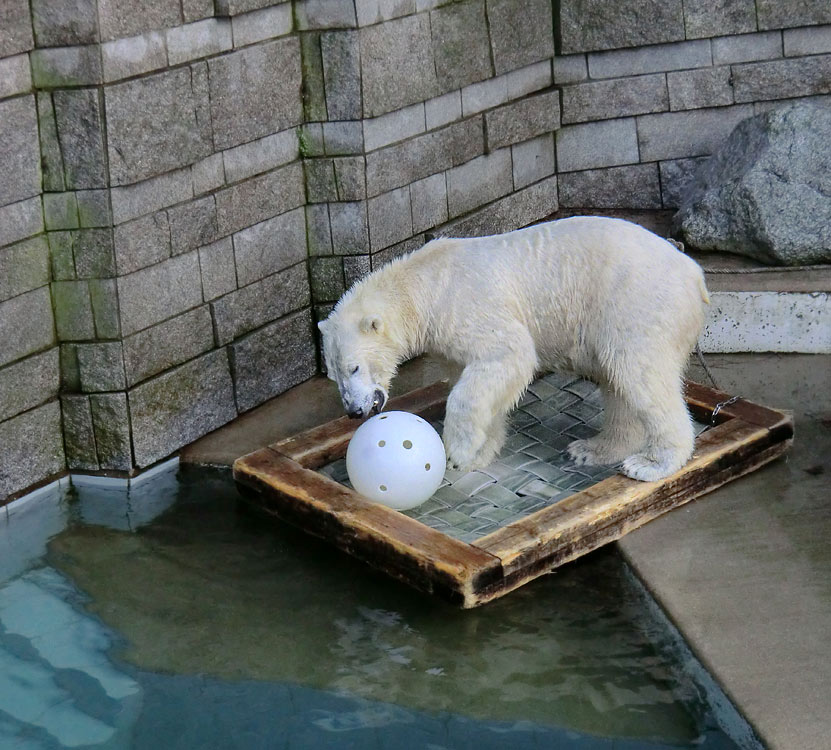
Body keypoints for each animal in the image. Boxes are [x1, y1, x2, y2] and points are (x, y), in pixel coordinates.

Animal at [316, 216, 708, 482]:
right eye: (335, 376)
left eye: (354, 367)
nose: (354, 411)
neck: (424, 285)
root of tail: (694, 274)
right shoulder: (447, 342)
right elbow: (481, 381)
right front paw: (477, 453)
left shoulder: (464, 306)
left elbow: (508, 354)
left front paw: (457, 449)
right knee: (617, 382)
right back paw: (592, 448)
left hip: (634, 301)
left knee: (637, 370)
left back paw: (651, 463)